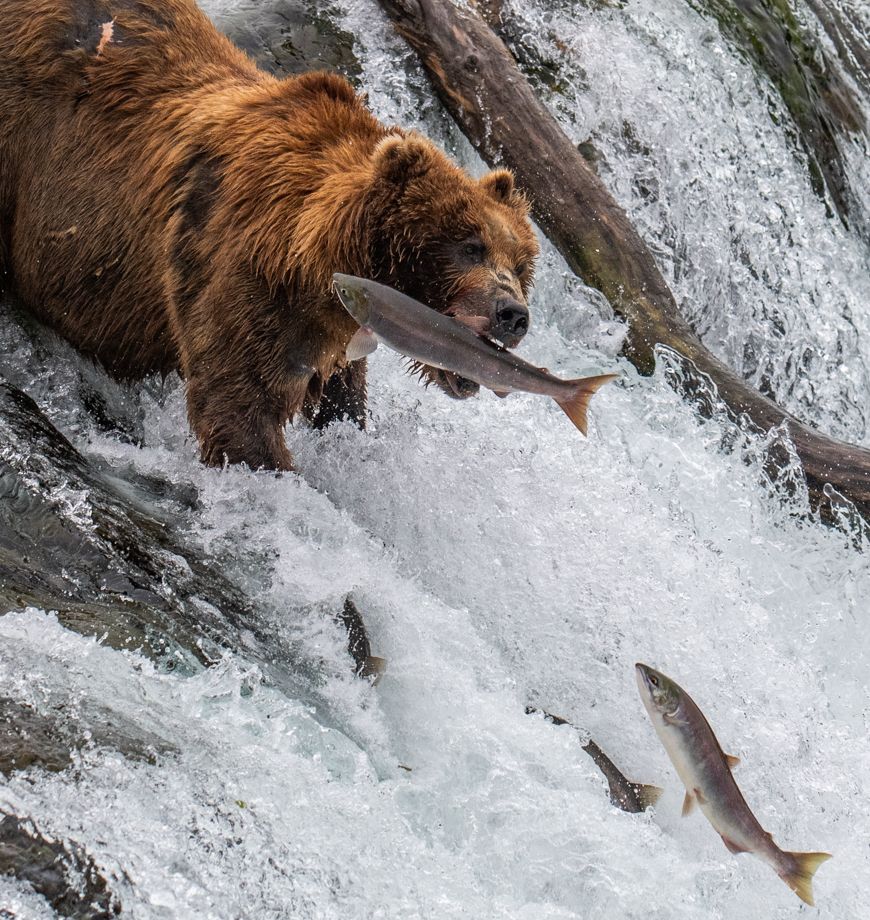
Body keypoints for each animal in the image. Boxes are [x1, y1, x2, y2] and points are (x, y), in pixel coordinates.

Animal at [0, 0, 539, 470]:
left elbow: (340, 402)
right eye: (470, 246)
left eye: (518, 264)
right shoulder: (239, 263)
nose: (512, 314)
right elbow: (239, 403)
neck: (316, 258)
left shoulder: (329, 332)